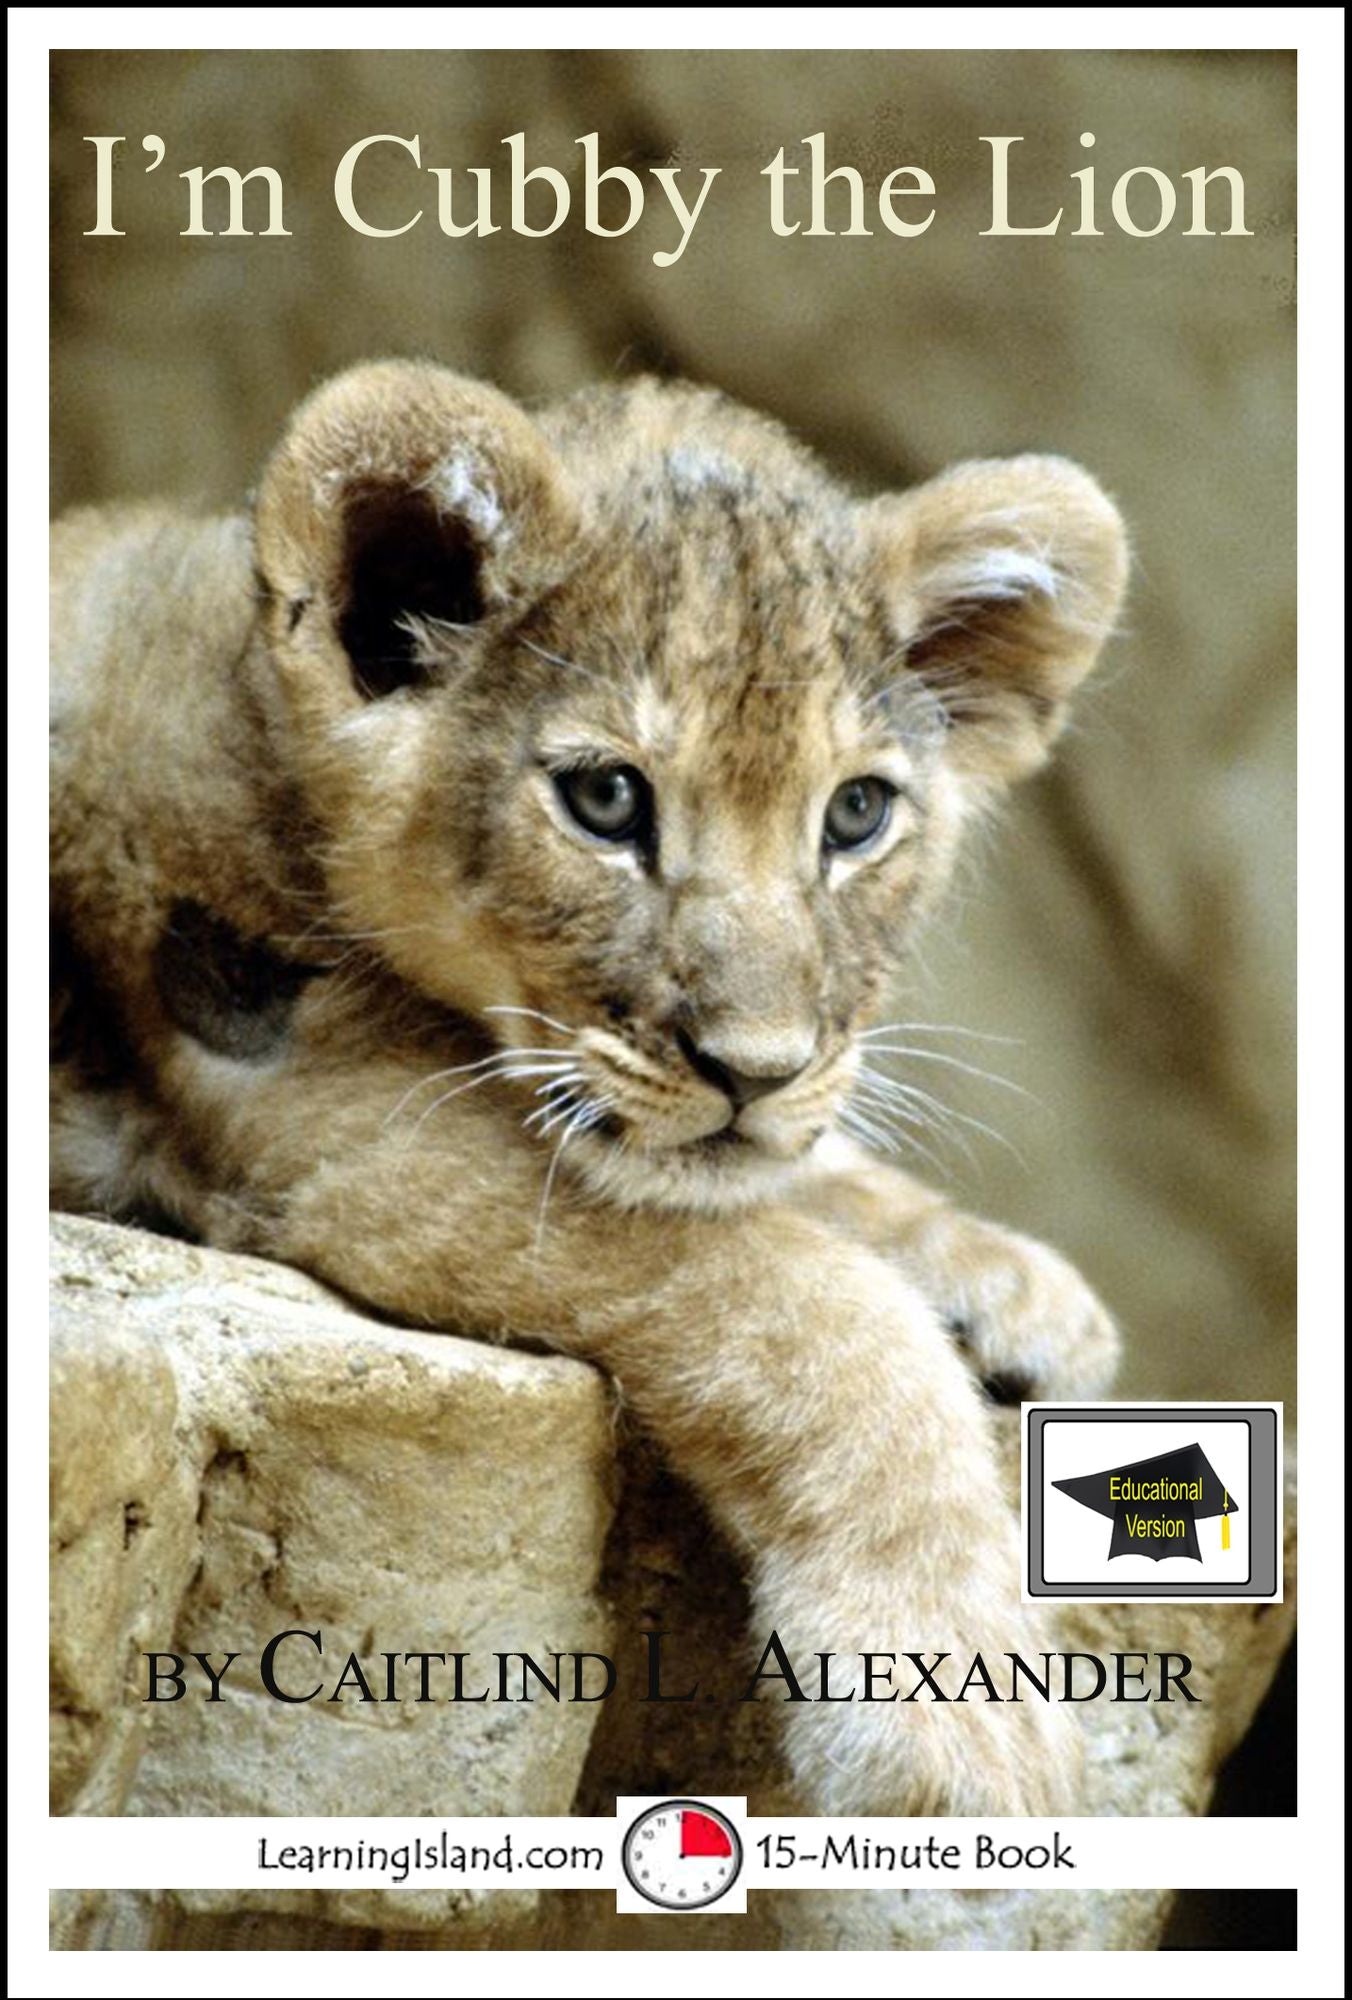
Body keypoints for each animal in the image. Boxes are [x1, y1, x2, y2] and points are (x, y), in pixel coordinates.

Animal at [51, 360, 1128, 1816]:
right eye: (608, 798)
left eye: (855, 815)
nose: (754, 1068)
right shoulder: (312, 1113)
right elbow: (798, 1294)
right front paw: (959, 1717)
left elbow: (807, 1187)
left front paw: (1015, 1285)